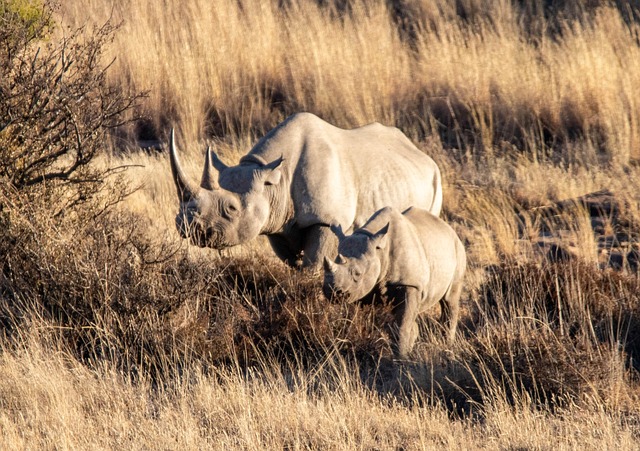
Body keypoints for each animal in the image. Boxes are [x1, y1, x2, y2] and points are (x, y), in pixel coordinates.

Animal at [169, 112, 442, 269]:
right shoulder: (277, 221)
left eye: (231, 208)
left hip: (436, 180)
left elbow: (313, 265)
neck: (274, 180)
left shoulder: (326, 219)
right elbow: (291, 263)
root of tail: (422, 154)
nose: (187, 226)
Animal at [323, 206, 466, 358]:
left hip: (458, 251)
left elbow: (402, 326)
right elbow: (356, 320)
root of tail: (450, 230)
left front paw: (400, 358)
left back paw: (447, 347)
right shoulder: (362, 291)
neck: (379, 252)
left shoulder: (410, 284)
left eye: (358, 274)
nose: (331, 292)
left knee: (449, 300)